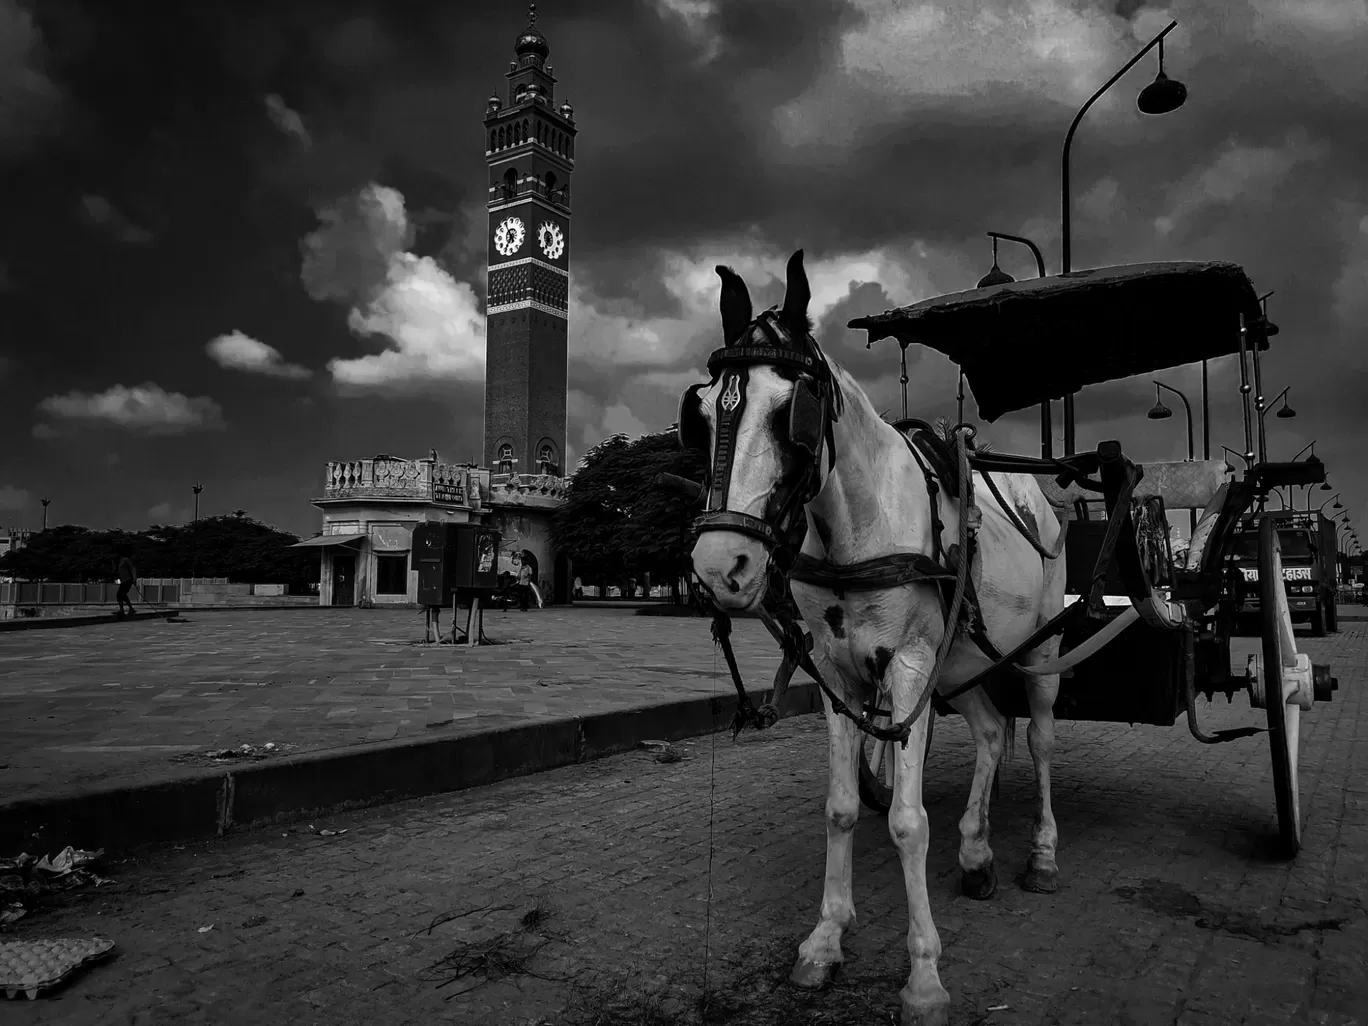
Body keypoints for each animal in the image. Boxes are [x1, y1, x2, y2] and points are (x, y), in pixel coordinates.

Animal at [689, 251, 1061, 1026]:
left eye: (792, 411)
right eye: (703, 411)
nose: (718, 566)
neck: (855, 524)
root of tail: (1036, 494)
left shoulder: (910, 666)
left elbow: (907, 822)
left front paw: (923, 977)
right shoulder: (840, 674)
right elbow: (842, 809)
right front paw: (826, 939)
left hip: (1036, 653)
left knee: (1038, 738)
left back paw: (1041, 854)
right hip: (961, 662)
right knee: (991, 733)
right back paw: (976, 852)